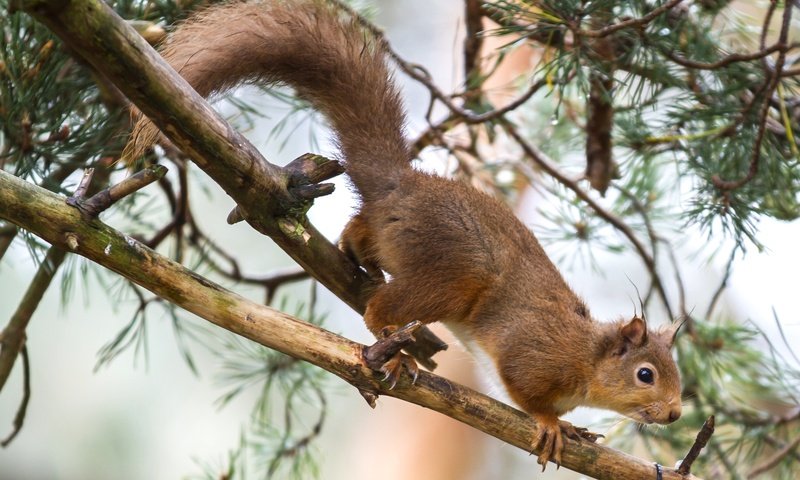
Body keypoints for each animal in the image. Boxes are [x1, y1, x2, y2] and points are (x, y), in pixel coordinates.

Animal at [128, 0, 684, 468]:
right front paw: (552, 423)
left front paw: (578, 430)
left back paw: (358, 256)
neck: (585, 356)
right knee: (381, 308)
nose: (677, 413)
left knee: (360, 231)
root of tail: (401, 184)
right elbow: (524, 390)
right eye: (646, 374)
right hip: (455, 277)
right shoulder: (532, 356)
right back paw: (392, 349)